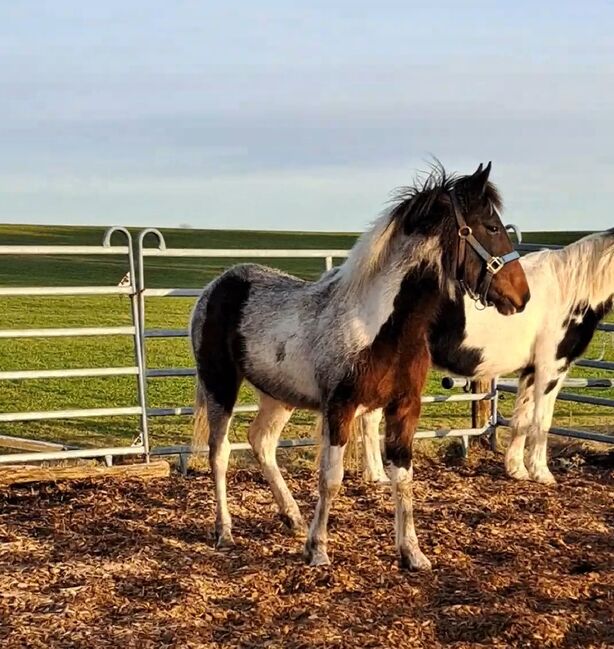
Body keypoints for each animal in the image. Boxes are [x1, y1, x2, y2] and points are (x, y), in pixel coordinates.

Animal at [190, 162, 532, 568]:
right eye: (491, 227)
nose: (522, 295)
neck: (379, 325)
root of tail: (217, 286)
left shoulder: (404, 408)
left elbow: (404, 476)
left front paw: (412, 553)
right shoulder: (341, 407)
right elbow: (331, 478)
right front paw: (319, 550)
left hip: (278, 395)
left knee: (262, 443)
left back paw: (292, 517)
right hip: (220, 386)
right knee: (220, 453)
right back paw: (224, 531)